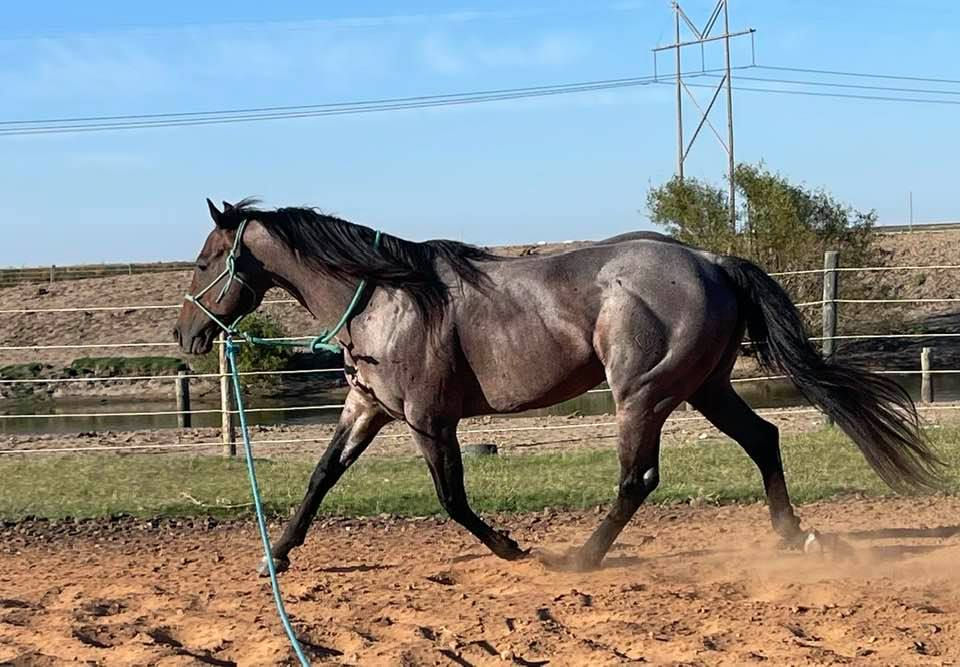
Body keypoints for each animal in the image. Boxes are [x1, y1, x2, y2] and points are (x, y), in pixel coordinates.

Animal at [174, 198, 944, 573]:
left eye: (208, 258)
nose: (186, 335)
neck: (385, 297)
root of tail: (711, 259)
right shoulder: (367, 408)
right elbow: (319, 478)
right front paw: (275, 553)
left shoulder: (429, 418)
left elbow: (452, 499)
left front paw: (514, 548)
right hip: (706, 388)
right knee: (763, 437)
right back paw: (793, 536)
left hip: (644, 394)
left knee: (638, 478)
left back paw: (580, 557)